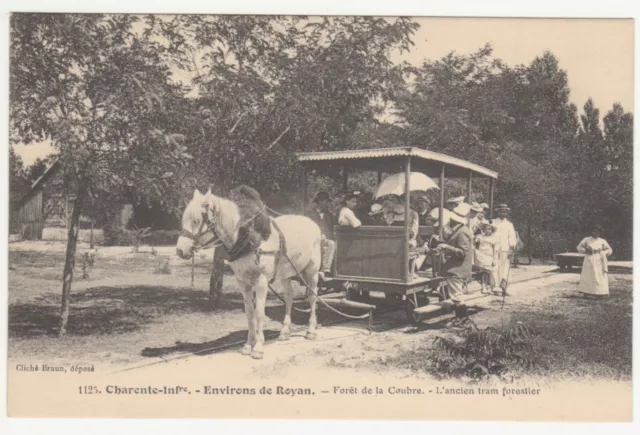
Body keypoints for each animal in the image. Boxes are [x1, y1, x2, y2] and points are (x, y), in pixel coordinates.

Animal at [176, 188, 322, 362]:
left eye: (196, 221)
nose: (180, 250)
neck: (247, 238)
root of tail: (312, 223)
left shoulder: (261, 281)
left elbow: (259, 313)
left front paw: (258, 347)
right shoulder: (242, 281)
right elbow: (249, 312)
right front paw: (248, 345)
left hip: (312, 270)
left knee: (312, 297)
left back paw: (311, 330)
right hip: (286, 273)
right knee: (289, 297)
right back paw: (285, 331)